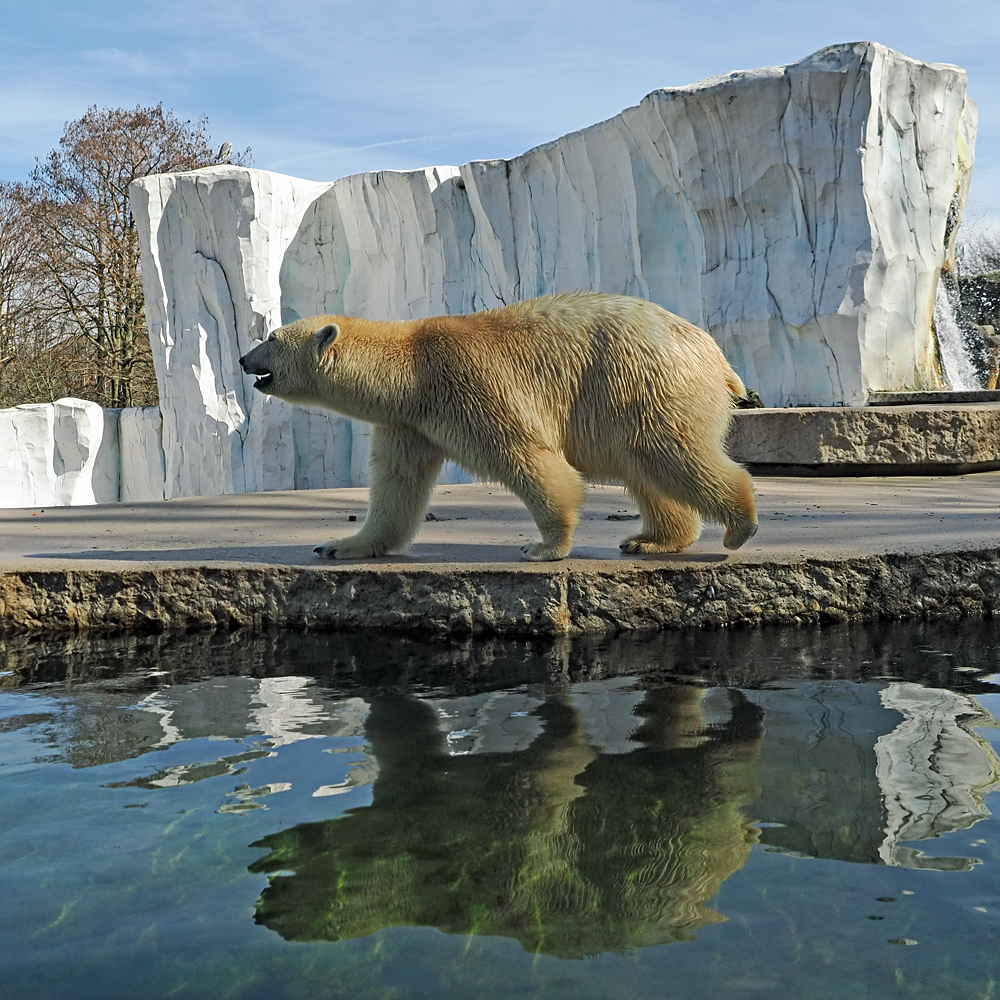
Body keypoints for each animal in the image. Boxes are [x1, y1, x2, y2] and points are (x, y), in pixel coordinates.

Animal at [240, 294, 756, 564]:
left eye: (271, 337)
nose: (244, 359)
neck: (410, 367)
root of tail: (717, 355)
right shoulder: (409, 422)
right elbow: (397, 485)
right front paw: (341, 545)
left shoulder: (467, 381)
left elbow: (529, 457)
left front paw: (545, 546)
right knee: (646, 466)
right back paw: (652, 539)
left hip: (643, 379)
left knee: (670, 452)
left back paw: (740, 526)